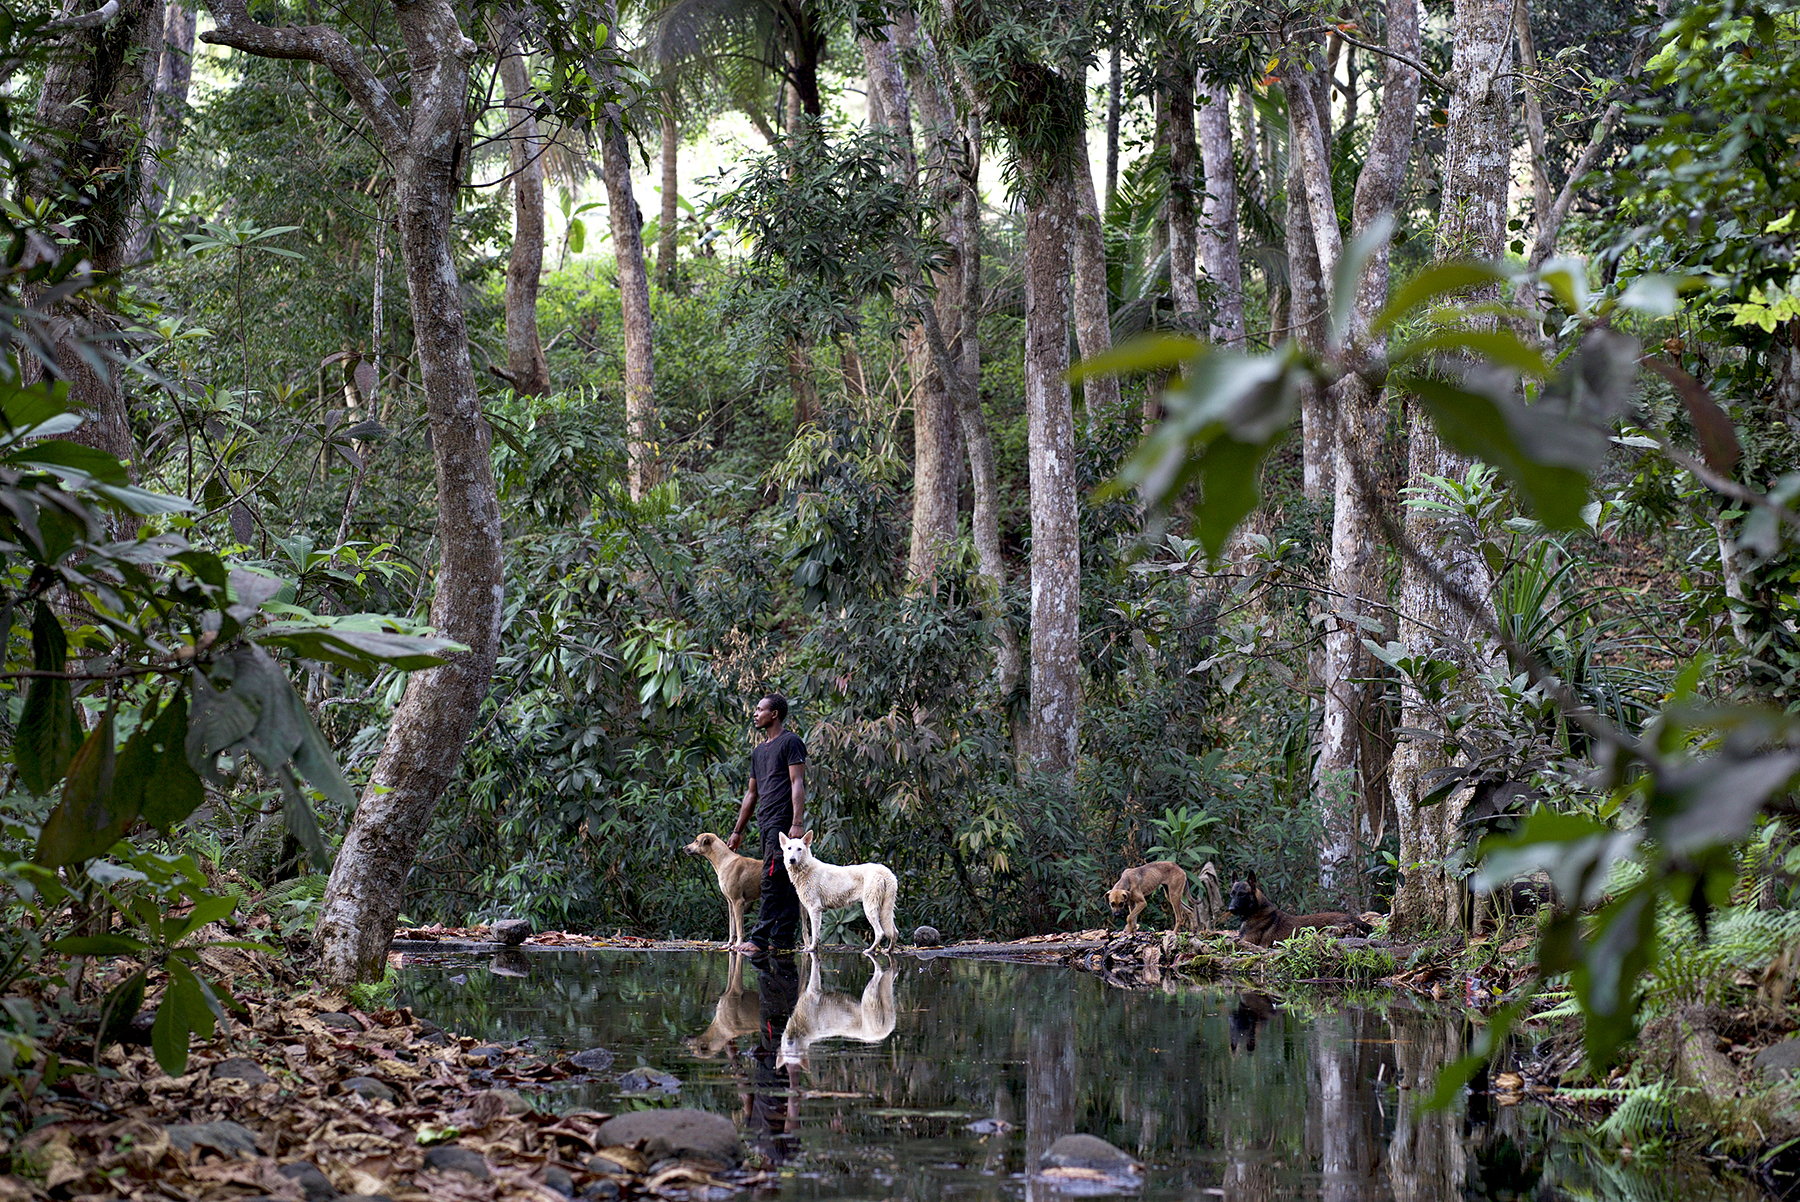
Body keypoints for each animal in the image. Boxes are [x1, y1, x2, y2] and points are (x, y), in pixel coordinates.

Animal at [1231, 874, 1368, 950]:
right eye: (1232, 894)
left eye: (1242, 894)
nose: (1230, 909)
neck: (1254, 912)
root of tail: (1352, 917)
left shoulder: (1248, 941)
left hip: (1326, 932)